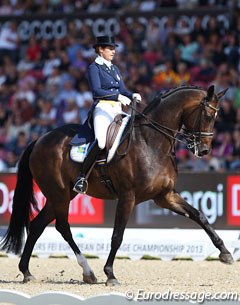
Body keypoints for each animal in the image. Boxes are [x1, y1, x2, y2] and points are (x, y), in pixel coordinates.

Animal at [0, 83, 232, 284]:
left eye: (217, 117)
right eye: (208, 115)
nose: (204, 150)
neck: (152, 142)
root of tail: (40, 139)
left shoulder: (165, 196)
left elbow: (199, 215)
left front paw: (226, 253)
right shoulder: (128, 197)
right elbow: (117, 236)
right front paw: (110, 274)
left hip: (61, 194)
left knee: (38, 225)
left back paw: (27, 272)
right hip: (59, 194)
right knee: (62, 226)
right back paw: (88, 271)